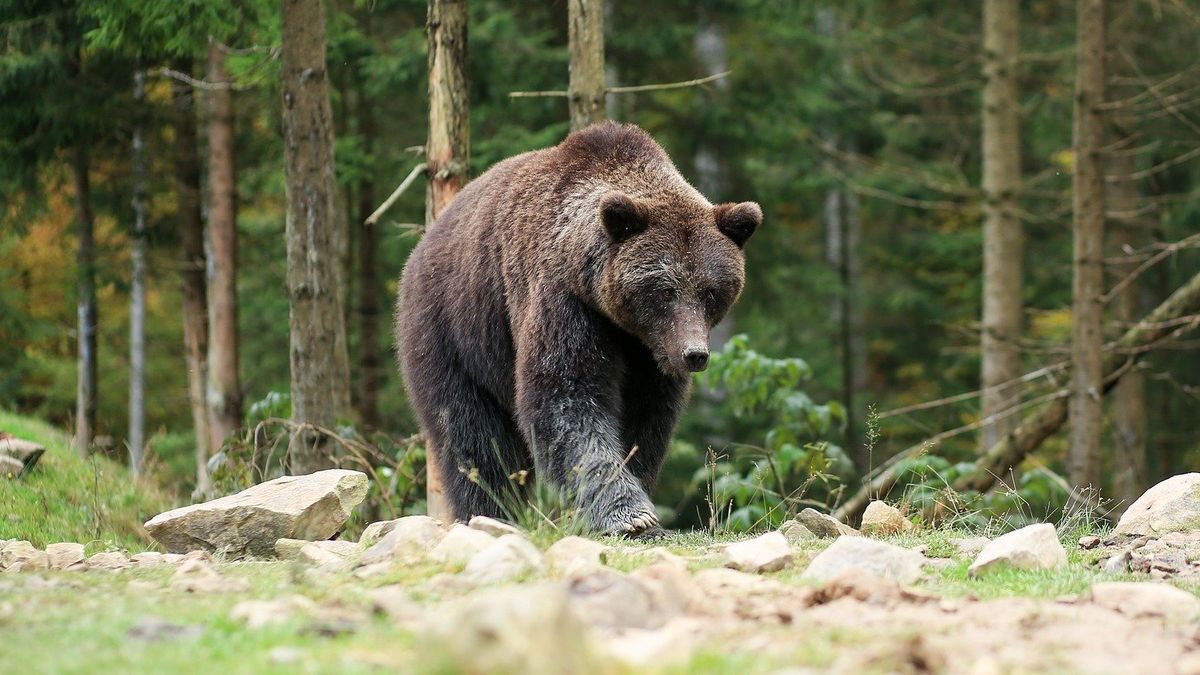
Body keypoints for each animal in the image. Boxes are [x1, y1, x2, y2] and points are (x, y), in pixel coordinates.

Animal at [398, 118, 763, 533]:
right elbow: (566, 394)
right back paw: (491, 511)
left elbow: (645, 417)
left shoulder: (647, 352)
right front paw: (629, 514)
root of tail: (425, 241)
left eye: (711, 291)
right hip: (454, 328)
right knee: (471, 433)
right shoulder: (563, 300)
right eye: (666, 291)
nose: (694, 354)